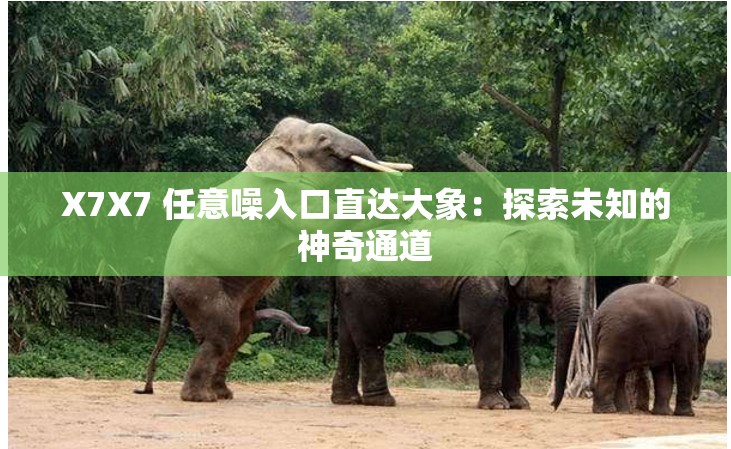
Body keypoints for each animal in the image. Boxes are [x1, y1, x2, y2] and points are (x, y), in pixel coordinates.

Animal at [135, 117, 412, 402]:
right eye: (324, 142)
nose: (308, 330)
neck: (273, 147)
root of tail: (167, 288)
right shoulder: (282, 194)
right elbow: (320, 220)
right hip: (200, 286)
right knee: (222, 332)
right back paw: (202, 398)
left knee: (240, 331)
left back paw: (223, 394)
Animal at [330, 223, 583, 411]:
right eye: (554, 276)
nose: (552, 405)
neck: (516, 230)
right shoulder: (481, 285)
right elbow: (484, 332)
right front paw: (497, 406)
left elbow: (511, 336)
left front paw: (520, 404)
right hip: (367, 293)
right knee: (373, 340)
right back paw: (382, 401)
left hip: (351, 296)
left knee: (348, 341)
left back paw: (347, 400)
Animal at [591, 283, 712, 416]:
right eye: (708, 336)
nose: (695, 397)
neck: (692, 302)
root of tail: (598, 316)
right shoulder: (687, 331)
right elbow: (686, 366)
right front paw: (687, 414)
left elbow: (663, 370)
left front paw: (664, 413)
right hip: (616, 336)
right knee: (610, 369)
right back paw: (606, 410)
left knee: (618, 371)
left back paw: (622, 410)